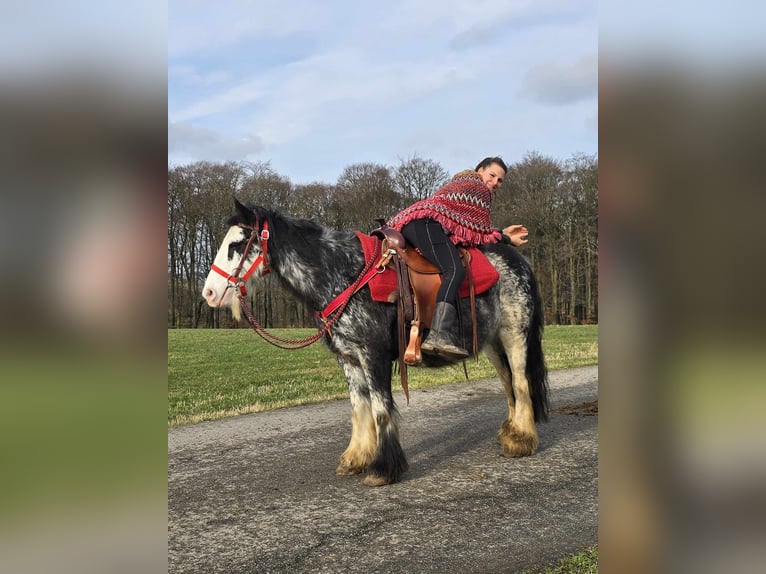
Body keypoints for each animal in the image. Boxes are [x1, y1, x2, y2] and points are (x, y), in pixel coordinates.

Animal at [202, 200, 552, 488]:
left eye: (236, 244)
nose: (209, 293)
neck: (344, 276)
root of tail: (519, 261)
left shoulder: (374, 356)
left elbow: (381, 409)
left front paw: (384, 469)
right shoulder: (349, 358)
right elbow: (360, 408)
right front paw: (356, 458)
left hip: (515, 335)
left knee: (520, 382)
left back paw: (521, 440)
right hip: (492, 343)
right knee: (508, 384)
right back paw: (511, 432)